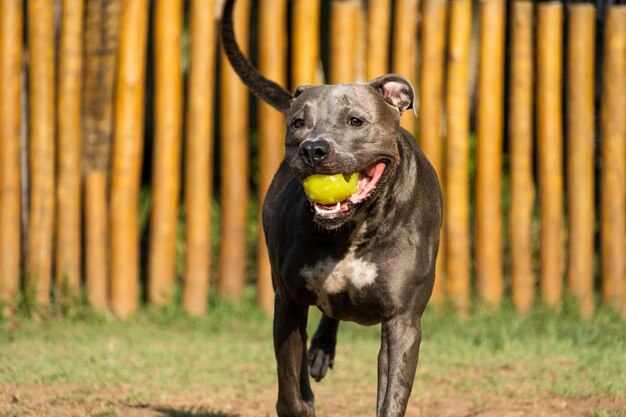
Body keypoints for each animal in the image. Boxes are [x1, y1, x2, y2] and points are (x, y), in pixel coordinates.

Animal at [222, 1, 442, 414]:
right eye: (298, 123)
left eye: (355, 120)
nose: (314, 149)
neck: (351, 231)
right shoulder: (288, 303)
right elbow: (289, 389)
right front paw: (300, 399)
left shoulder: (402, 322)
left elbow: (392, 397)